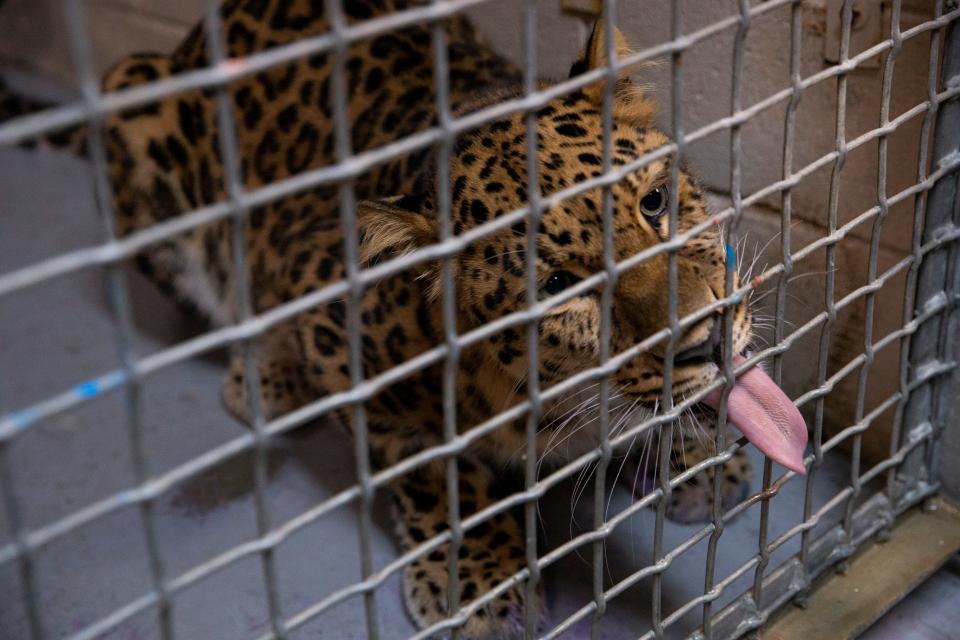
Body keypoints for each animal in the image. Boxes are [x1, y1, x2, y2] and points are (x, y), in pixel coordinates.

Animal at [3, 0, 760, 636]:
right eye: (558, 287)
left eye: (655, 202)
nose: (708, 338)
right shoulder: (330, 313)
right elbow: (432, 462)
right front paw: (480, 575)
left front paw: (695, 452)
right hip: (139, 107)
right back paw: (269, 381)